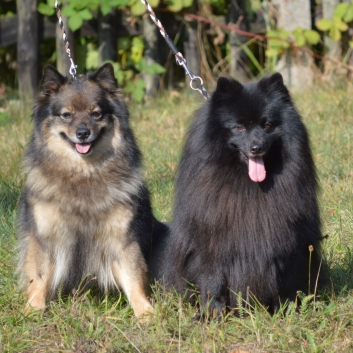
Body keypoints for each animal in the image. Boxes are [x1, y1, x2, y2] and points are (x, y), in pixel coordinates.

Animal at [161, 73, 326, 314]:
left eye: (268, 125)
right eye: (239, 127)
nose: (257, 148)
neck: (249, 186)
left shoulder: (285, 239)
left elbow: (286, 277)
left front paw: (285, 310)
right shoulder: (212, 241)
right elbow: (212, 279)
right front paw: (211, 313)